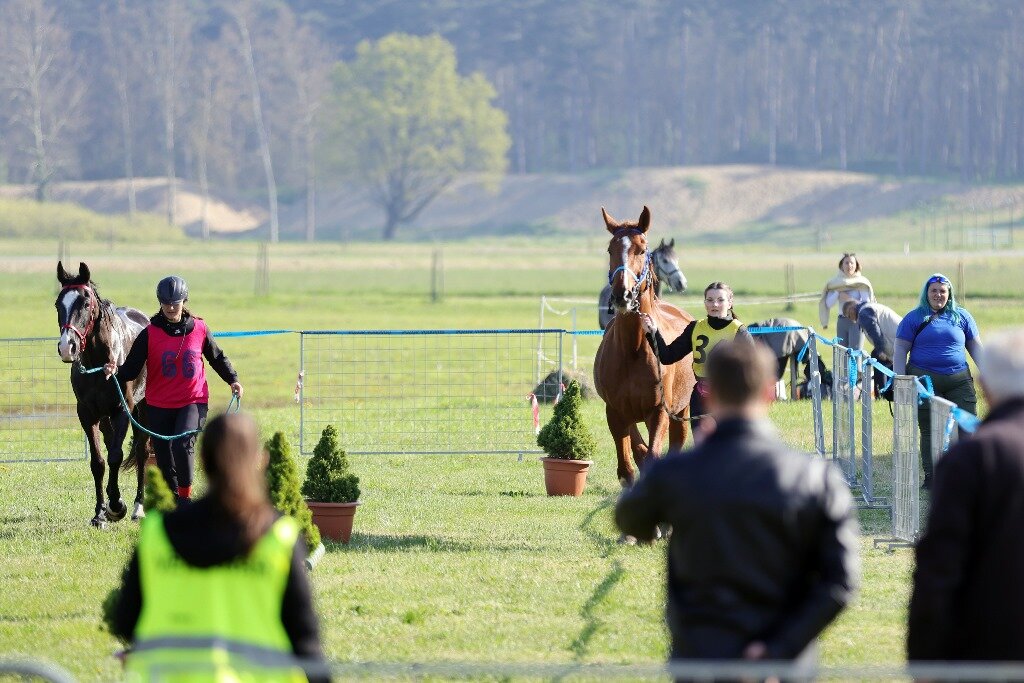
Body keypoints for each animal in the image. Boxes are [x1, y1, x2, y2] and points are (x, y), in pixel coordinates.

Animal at [56, 264, 150, 528]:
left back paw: (138, 507)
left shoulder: (122, 410)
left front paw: (117, 505)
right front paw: (100, 512)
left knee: (141, 451)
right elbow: (98, 462)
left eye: (86, 303)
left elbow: (116, 456)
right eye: (58, 304)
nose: (67, 347)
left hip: (142, 410)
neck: (100, 364)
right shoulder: (87, 414)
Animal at [593, 206, 696, 485]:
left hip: (680, 412)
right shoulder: (616, 414)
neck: (633, 348)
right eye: (610, 250)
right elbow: (628, 467)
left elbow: (653, 457)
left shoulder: (659, 413)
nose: (623, 295)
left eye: (641, 249)